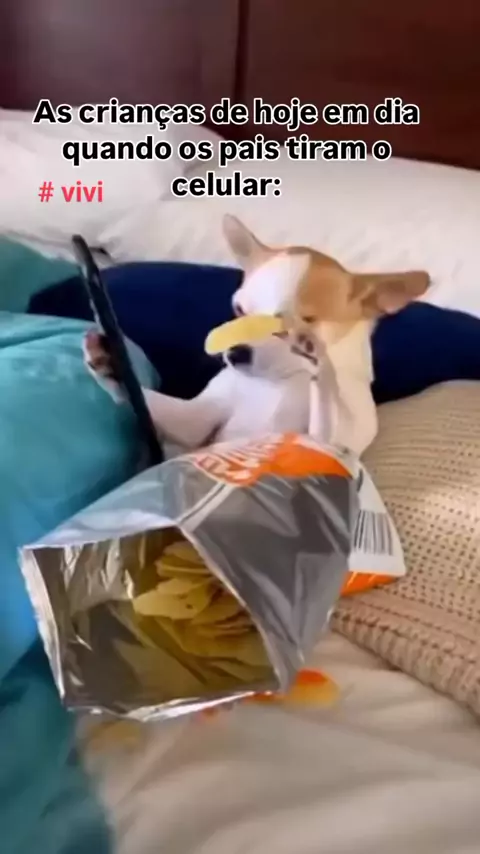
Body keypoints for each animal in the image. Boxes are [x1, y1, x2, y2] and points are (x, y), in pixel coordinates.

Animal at [83, 215, 430, 456]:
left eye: (303, 322)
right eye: (239, 310)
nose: (236, 352)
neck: (278, 382)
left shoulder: (329, 446)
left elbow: (326, 412)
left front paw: (318, 364)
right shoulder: (194, 422)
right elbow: (160, 406)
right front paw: (109, 364)